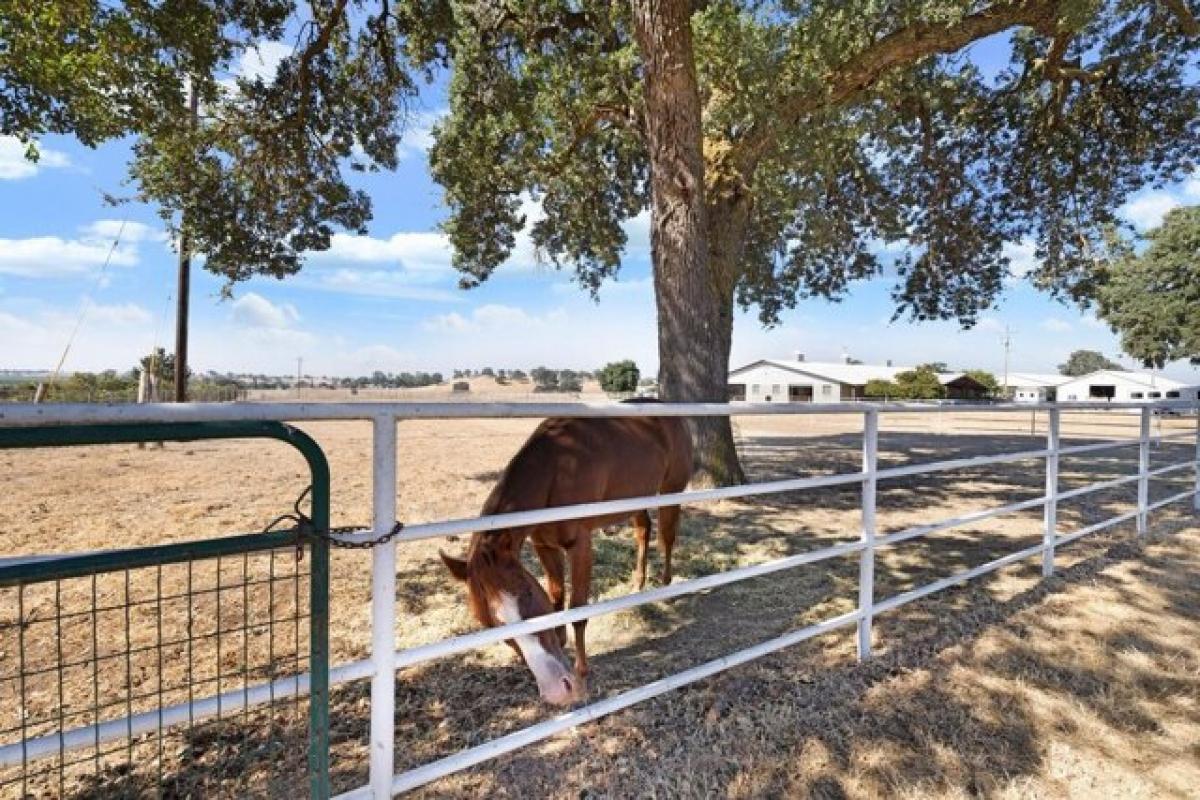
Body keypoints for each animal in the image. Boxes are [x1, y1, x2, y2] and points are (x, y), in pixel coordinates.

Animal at [441, 410, 691, 705]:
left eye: (526, 593)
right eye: (488, 622)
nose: (557, 690)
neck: (557, 470)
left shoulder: (580, 546)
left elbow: (578, 610)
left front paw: (581, 669)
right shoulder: (544, 547)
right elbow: (556, 596)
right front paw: (560, 639)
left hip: (670, 492)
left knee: (667, 538)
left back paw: (666, 587)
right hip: (638, 497)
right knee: (643, 530)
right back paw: (637, 585)